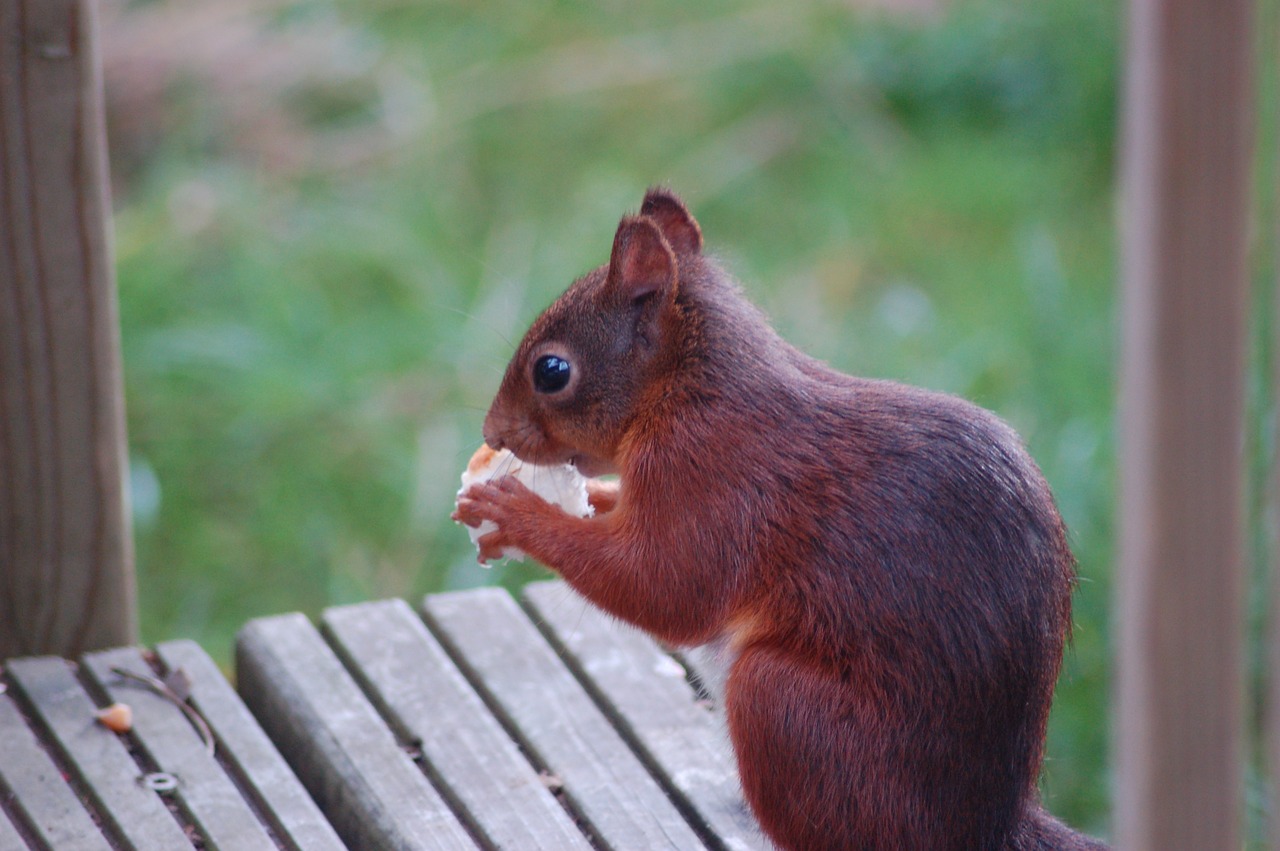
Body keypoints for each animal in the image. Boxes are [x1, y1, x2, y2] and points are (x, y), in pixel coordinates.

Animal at [455, 189, 1105, 844]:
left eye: (552, 371)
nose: (492, 432)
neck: (687, 389)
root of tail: (986, 824)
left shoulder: (711, 474)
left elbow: (666, 587)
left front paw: (515, 511)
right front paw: (587, 493)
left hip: (783, 709)